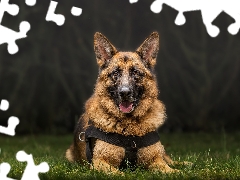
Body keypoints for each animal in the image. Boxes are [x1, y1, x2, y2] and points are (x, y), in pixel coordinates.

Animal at [65, 31, 184, 174]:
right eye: (115, 73)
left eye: (135, 73)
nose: (125, 93)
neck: (129, 129)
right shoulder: (99, 162)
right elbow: (119, 174)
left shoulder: (155, 160)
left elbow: (170, 170)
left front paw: (179, 172)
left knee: (169, 159)